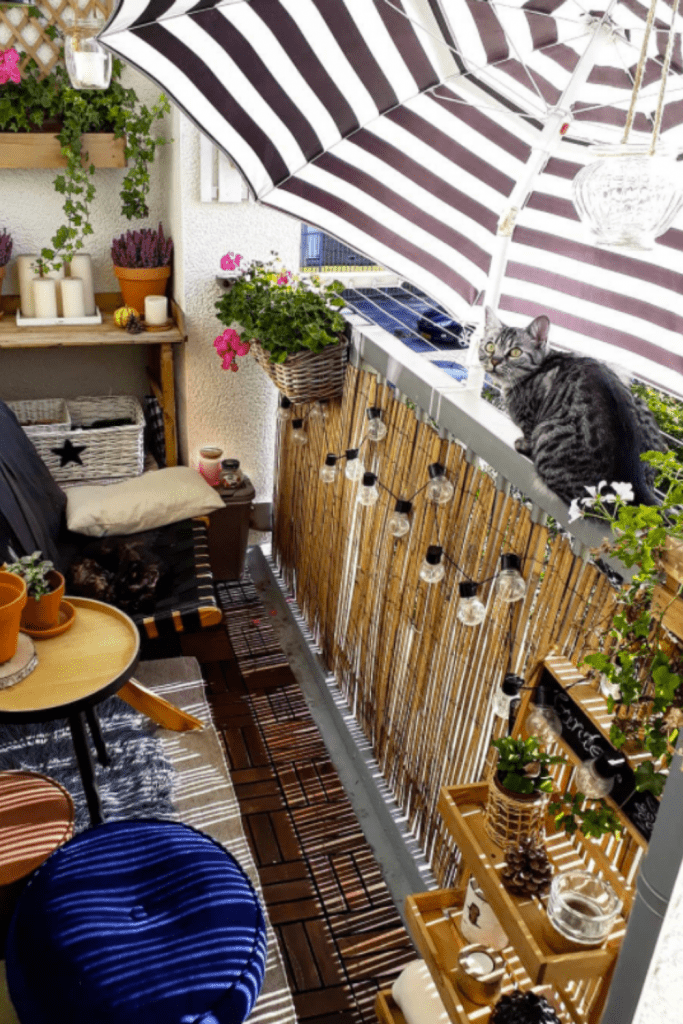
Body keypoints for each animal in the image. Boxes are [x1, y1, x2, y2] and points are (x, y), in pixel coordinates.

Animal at [479, 307, 663, 507]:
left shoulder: (531, 420)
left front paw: (523, 445)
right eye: (490, 347)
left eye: (515, 352)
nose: (495, 360)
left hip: (548, 435)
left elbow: (528, 434)